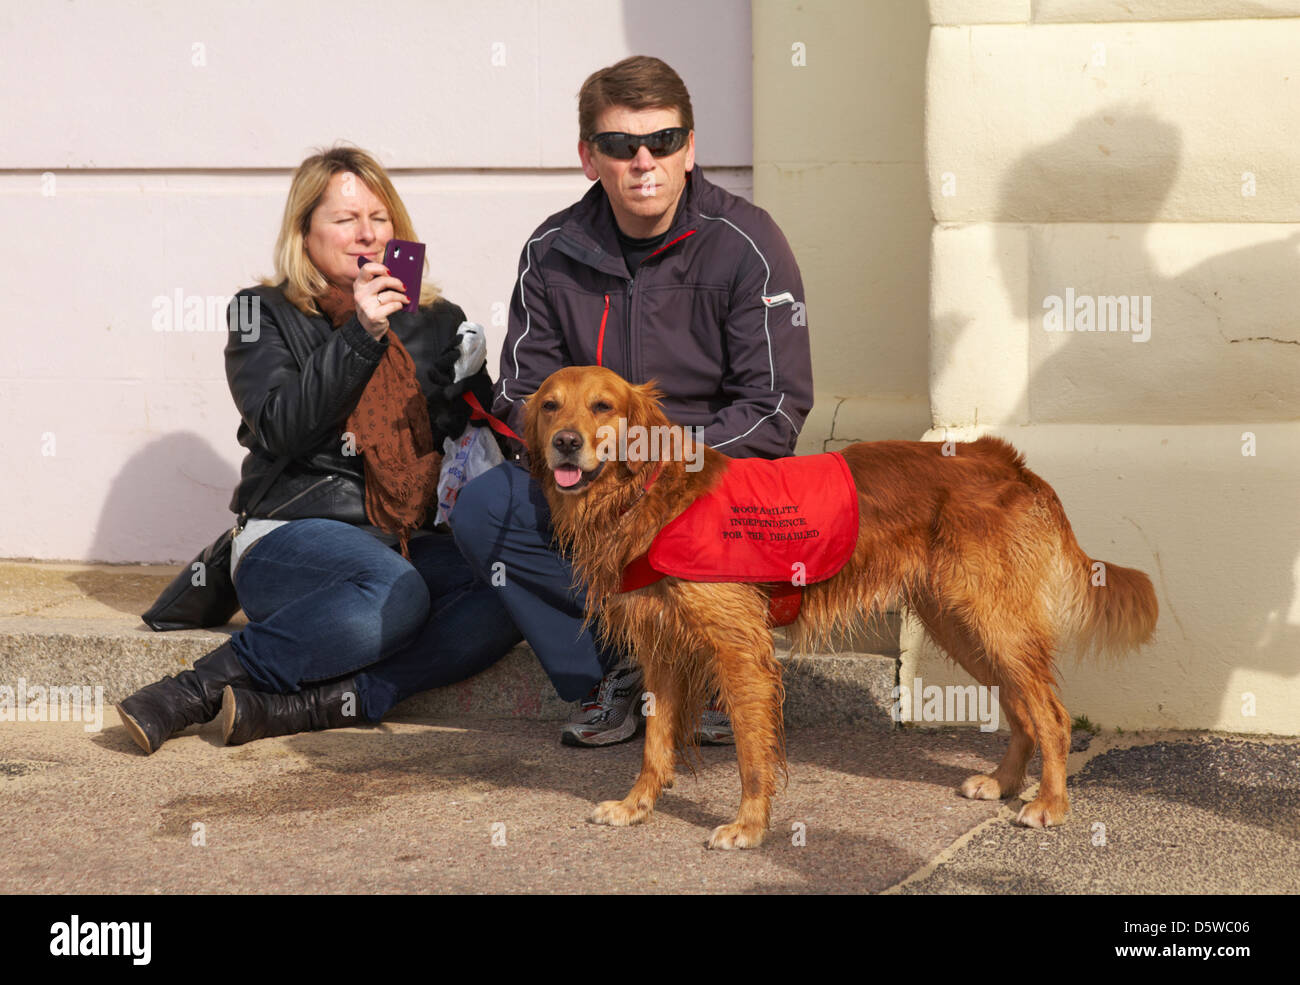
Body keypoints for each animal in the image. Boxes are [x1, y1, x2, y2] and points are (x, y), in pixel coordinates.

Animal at [525, 366, 1159, 852]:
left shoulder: (740, 649)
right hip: (962, 625)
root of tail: (1005, 459)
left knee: (1051, 715)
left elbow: (752, 753)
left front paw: (749, 827)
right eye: (551, 406)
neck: (650, 496)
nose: (566, 442)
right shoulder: (660, 650)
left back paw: (1049, 802)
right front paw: (637, 806)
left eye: (603, 406)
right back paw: (1004, 782)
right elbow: (655, 744)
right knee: (1022, 708)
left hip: (991, 622)